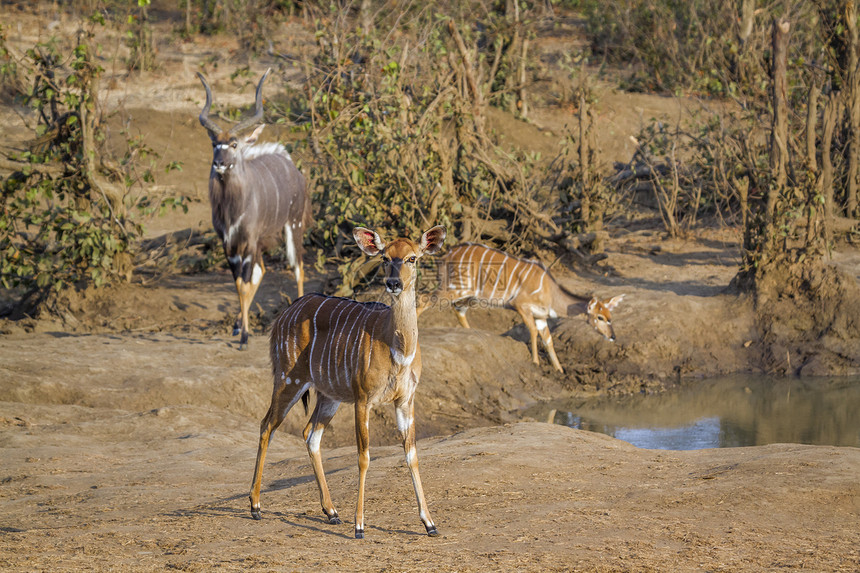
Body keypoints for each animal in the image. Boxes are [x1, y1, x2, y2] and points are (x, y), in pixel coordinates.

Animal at [198, 70, 312, 350]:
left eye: (234, 145)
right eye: (214, 144)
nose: (219, 164)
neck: (232, 209)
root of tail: (290, 164)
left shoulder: (248, 241)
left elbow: (245, 283)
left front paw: (245, 337)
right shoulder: (229, 244)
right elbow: (240, 283)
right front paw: (240, 329)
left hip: (293, 226)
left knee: (298, 268)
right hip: (262, 241)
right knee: (261, 271)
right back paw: (239, 324)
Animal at [249, 223, 446, 536]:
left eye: (412, 258)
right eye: (384, 258)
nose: (393, 283)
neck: (397, 349)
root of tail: (284, 314)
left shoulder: (405, 400)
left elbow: (411, 454)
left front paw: (429, 523)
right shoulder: (363, 399)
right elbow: (363, 457)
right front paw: (360, 526)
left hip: (329, 396)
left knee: (310, 434)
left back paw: (331, 512)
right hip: (288, 378)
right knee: (267, 424)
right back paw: (255, 506)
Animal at [418, 242, 624, 374]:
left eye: (610, 316)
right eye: (600, 317)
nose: (613, 336)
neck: (550, 291)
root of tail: (445, 256)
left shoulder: (541, 317)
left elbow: (548, 340)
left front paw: (559, 370)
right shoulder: (521, 306)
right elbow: (532, 331)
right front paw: (535, 362)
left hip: (468, 296)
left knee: (457, 310)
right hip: (456, 289)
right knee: (423, 298)